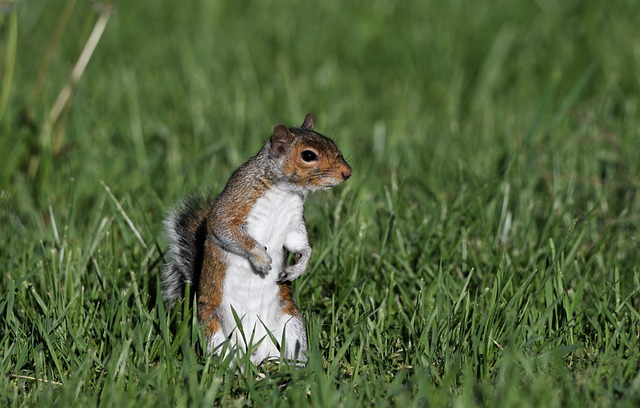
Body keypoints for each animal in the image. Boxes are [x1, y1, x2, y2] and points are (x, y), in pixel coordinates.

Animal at [159, 113, 350, 364]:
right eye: (308, 155)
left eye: (332, 143)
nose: (347, 173)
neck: (284, 189)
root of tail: (255, 354)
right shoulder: (236, 203)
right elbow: (224, 229)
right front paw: (261, 259)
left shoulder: (293, 220)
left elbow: (298, 242)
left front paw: (298, 266)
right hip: (213, 330)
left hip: (291, 323)